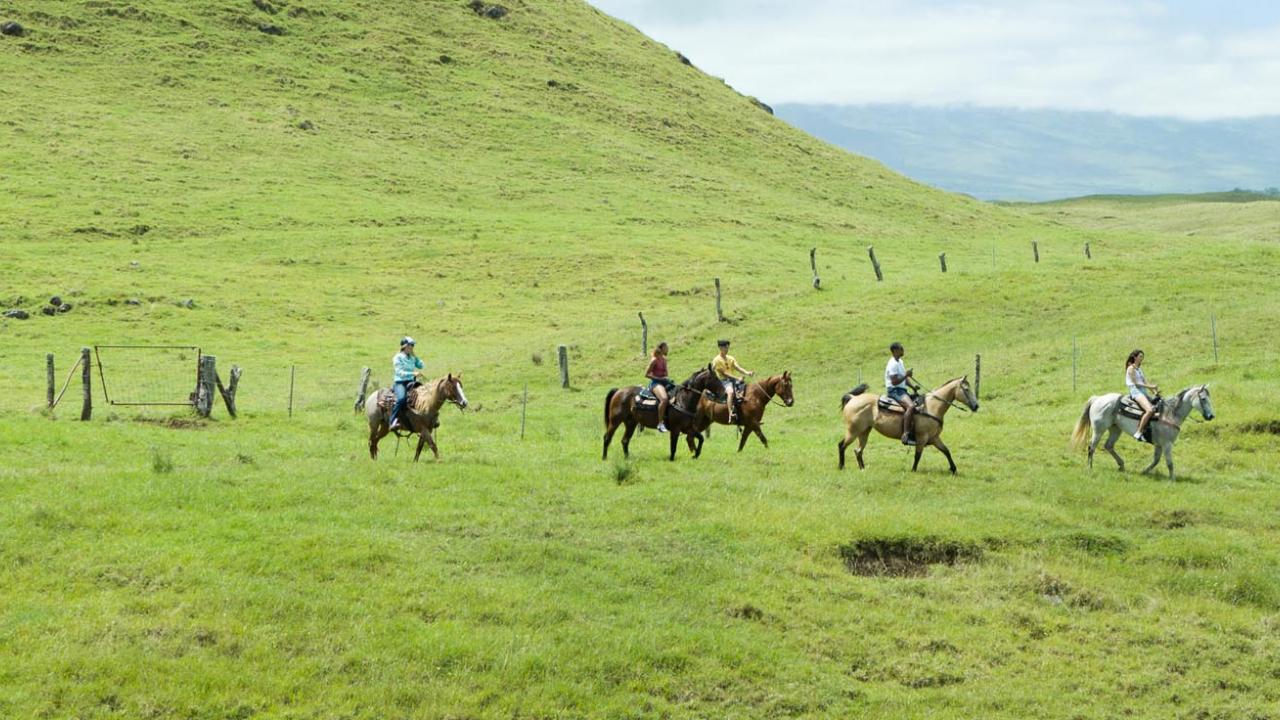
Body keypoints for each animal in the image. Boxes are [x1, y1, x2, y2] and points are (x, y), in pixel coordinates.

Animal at [839, 376, 977, 471]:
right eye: (966, 389)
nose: (976, 406)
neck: (932, 407)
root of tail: (853, 398)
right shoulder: (921, 438)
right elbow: (918, 455)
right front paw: (913, 470)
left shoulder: (934, 438)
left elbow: (946, 451)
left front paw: (953, 469)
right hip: (853, 431)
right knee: (842, 445)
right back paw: (841, 466)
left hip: (864, 431)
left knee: (858, 450)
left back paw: (862, 469)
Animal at [1064, 384, 1213, 479]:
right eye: (1203, 399)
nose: (1211, 416)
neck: (1169, 414)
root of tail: (1097, 399)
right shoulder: (1167, 444)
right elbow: (1169, 463)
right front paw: (1172, 479)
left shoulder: (1159, 444)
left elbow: (1156, 460)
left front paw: (1144, 472)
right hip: (1099, 430)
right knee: (1091, 447)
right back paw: (1090, 467)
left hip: (1115, 429)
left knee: (1108, 446)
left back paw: (1121, 465)